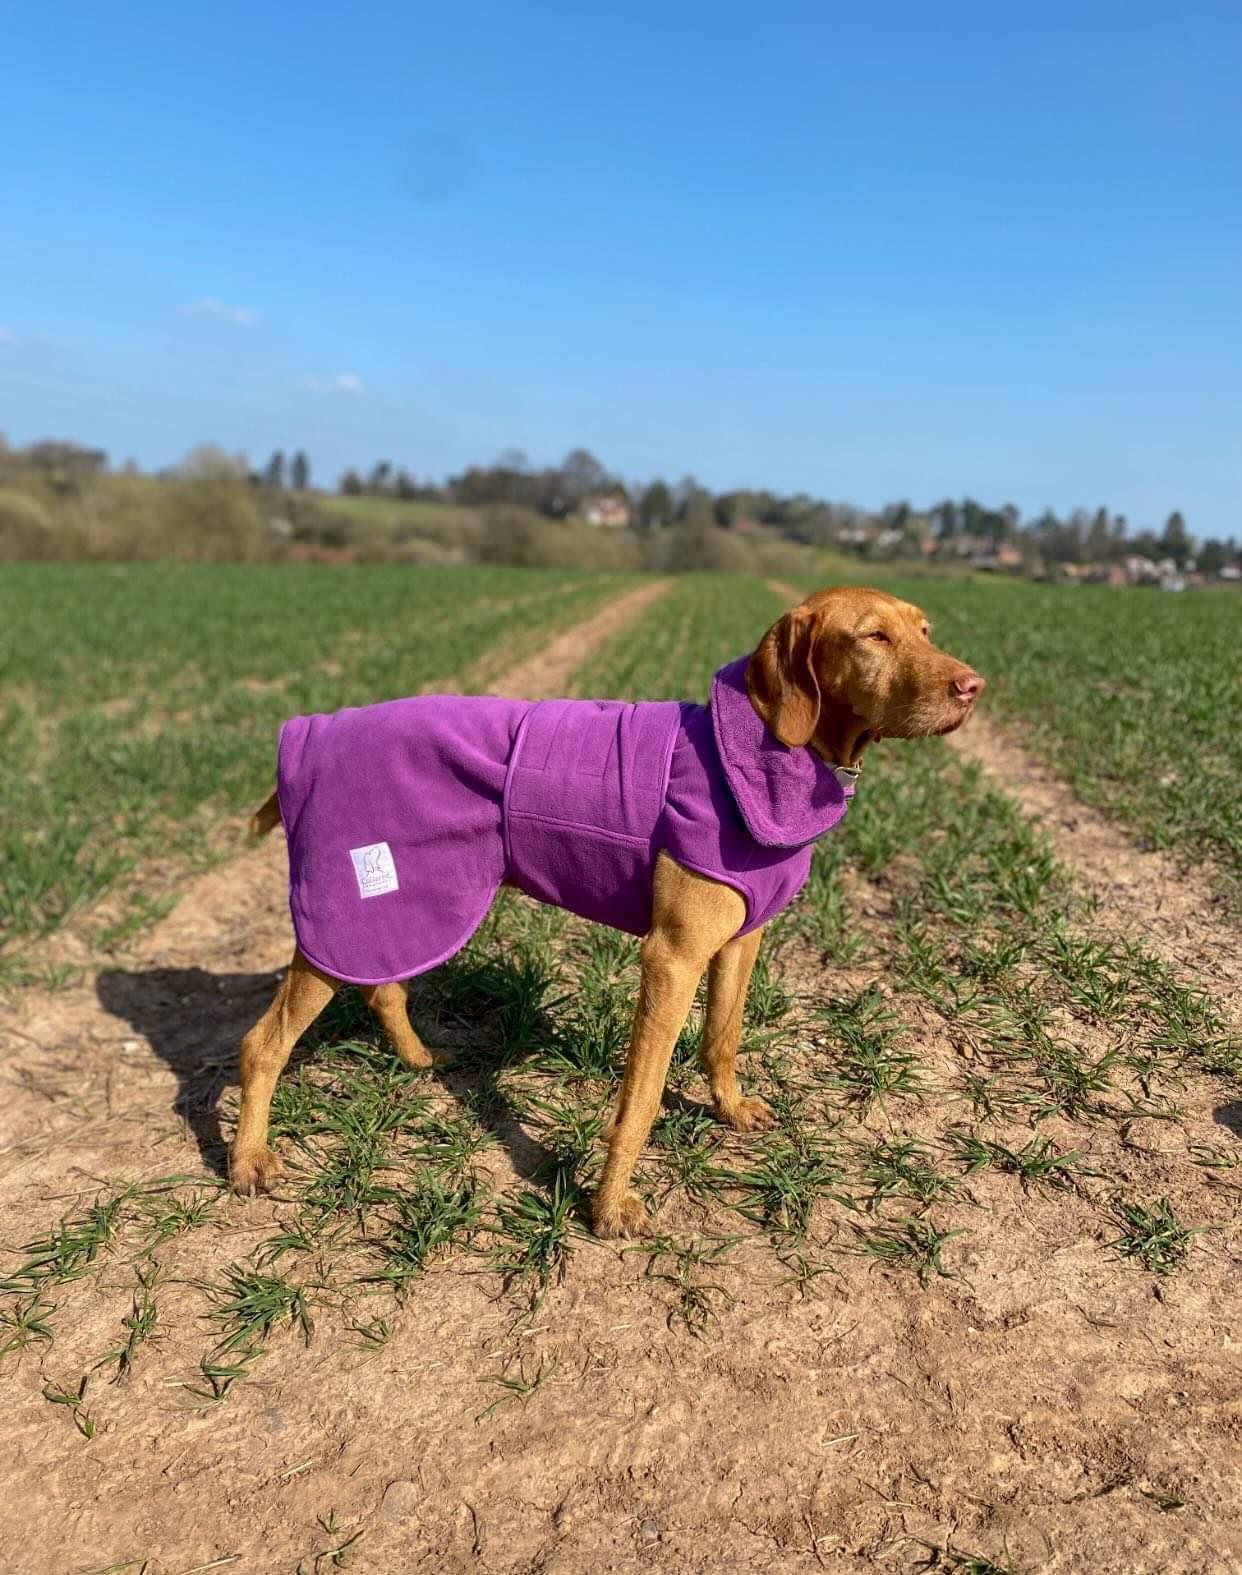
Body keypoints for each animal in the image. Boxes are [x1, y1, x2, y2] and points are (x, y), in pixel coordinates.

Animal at [229, 585, 975, 1234]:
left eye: (926, 630)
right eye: (873, 636)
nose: (973, 686)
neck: (760, 751)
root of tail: (310, 733)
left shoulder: (742, 938)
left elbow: (723, 1035)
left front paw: (730, 1109)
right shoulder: (672, 956)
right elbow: (640, 1099)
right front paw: (610, 1205)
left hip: (416, 900)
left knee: (383, 984)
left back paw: (417, 1060)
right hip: (351, 906)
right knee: (264, 1043)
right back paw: (248, 1161)